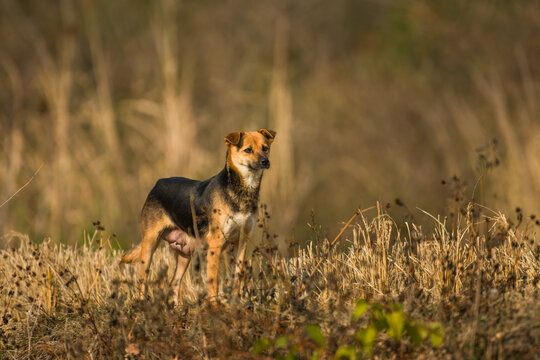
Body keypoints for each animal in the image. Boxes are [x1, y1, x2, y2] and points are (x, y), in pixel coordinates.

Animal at [121, 128, 276, 302]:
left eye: (265, 148)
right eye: (248, 150)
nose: (265, 161)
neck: (241, 190)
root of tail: (157, 184)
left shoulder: (241, 242)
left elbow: (237, 278)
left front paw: (236, 302)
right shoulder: (215, 244)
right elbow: (213, 282)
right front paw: (215, 305)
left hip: (185, 253)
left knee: (174, 283)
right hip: (149, 246)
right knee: (143, 282)